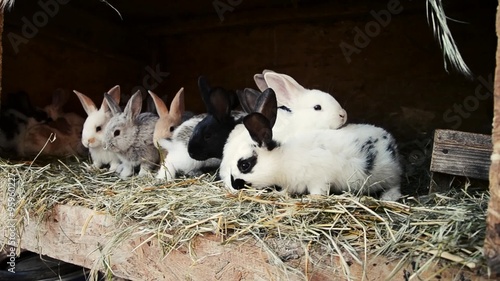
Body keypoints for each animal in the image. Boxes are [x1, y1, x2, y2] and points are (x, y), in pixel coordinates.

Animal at [220, 88, 402, 200]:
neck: (282, 159)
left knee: (395, 185)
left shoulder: (319, 179)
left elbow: (318, 192)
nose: (235, 184)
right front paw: (280, 195)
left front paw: (311, 199)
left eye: (244, 165)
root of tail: (390, 139)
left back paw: (389, 197)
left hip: (388, 174)